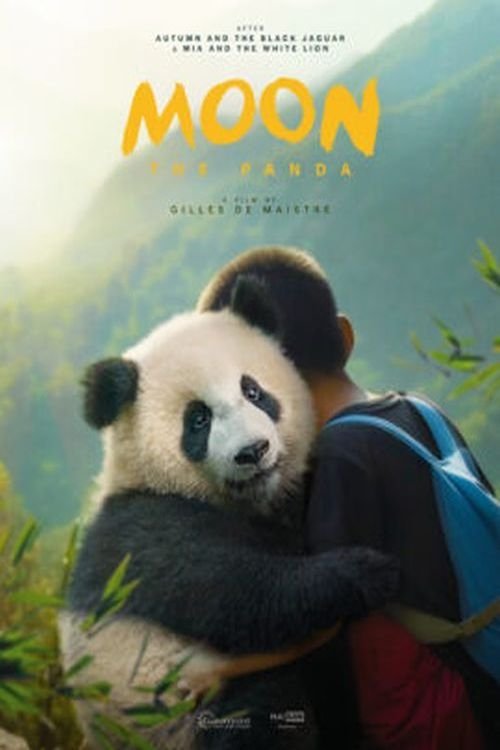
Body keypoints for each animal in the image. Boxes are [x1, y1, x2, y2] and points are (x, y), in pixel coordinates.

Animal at [60, 277, 398, 750]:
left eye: (253, 391)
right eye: (198, 419)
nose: (252, 451)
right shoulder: (145, 531)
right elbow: (233, 591)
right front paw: (365, 571)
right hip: (179, 710)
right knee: (260, 711)